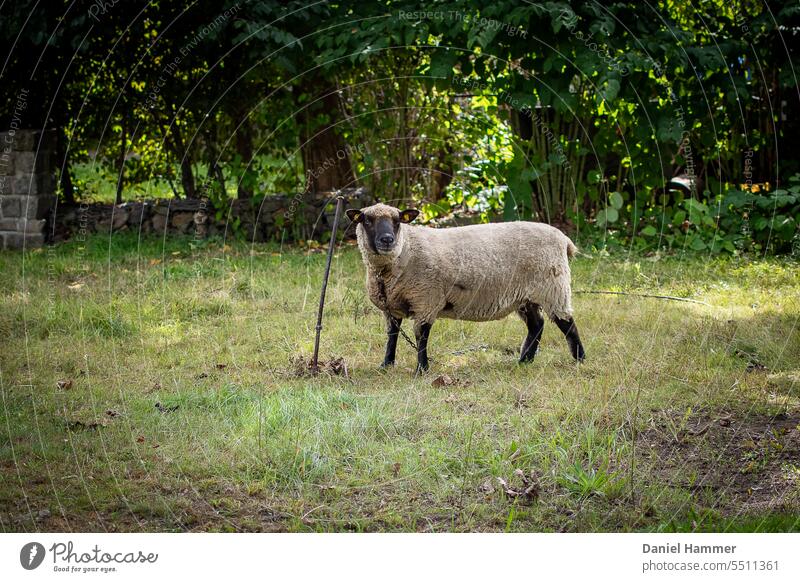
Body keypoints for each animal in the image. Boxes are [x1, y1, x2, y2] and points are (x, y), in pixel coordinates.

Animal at [346, 202, 584, 374]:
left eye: (397, 221)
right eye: (367, 220)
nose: (387, 240)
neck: (405, 250)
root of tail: (563, 239)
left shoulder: (426, 300)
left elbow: (421, 337)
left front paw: (421, 369)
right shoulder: (392, 306)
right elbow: (392, 335)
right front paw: (386, 364)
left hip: (553, 287)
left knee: (567, 323)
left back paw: (579, 359)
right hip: (526, 296)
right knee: (537, 325)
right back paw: (524, 361)